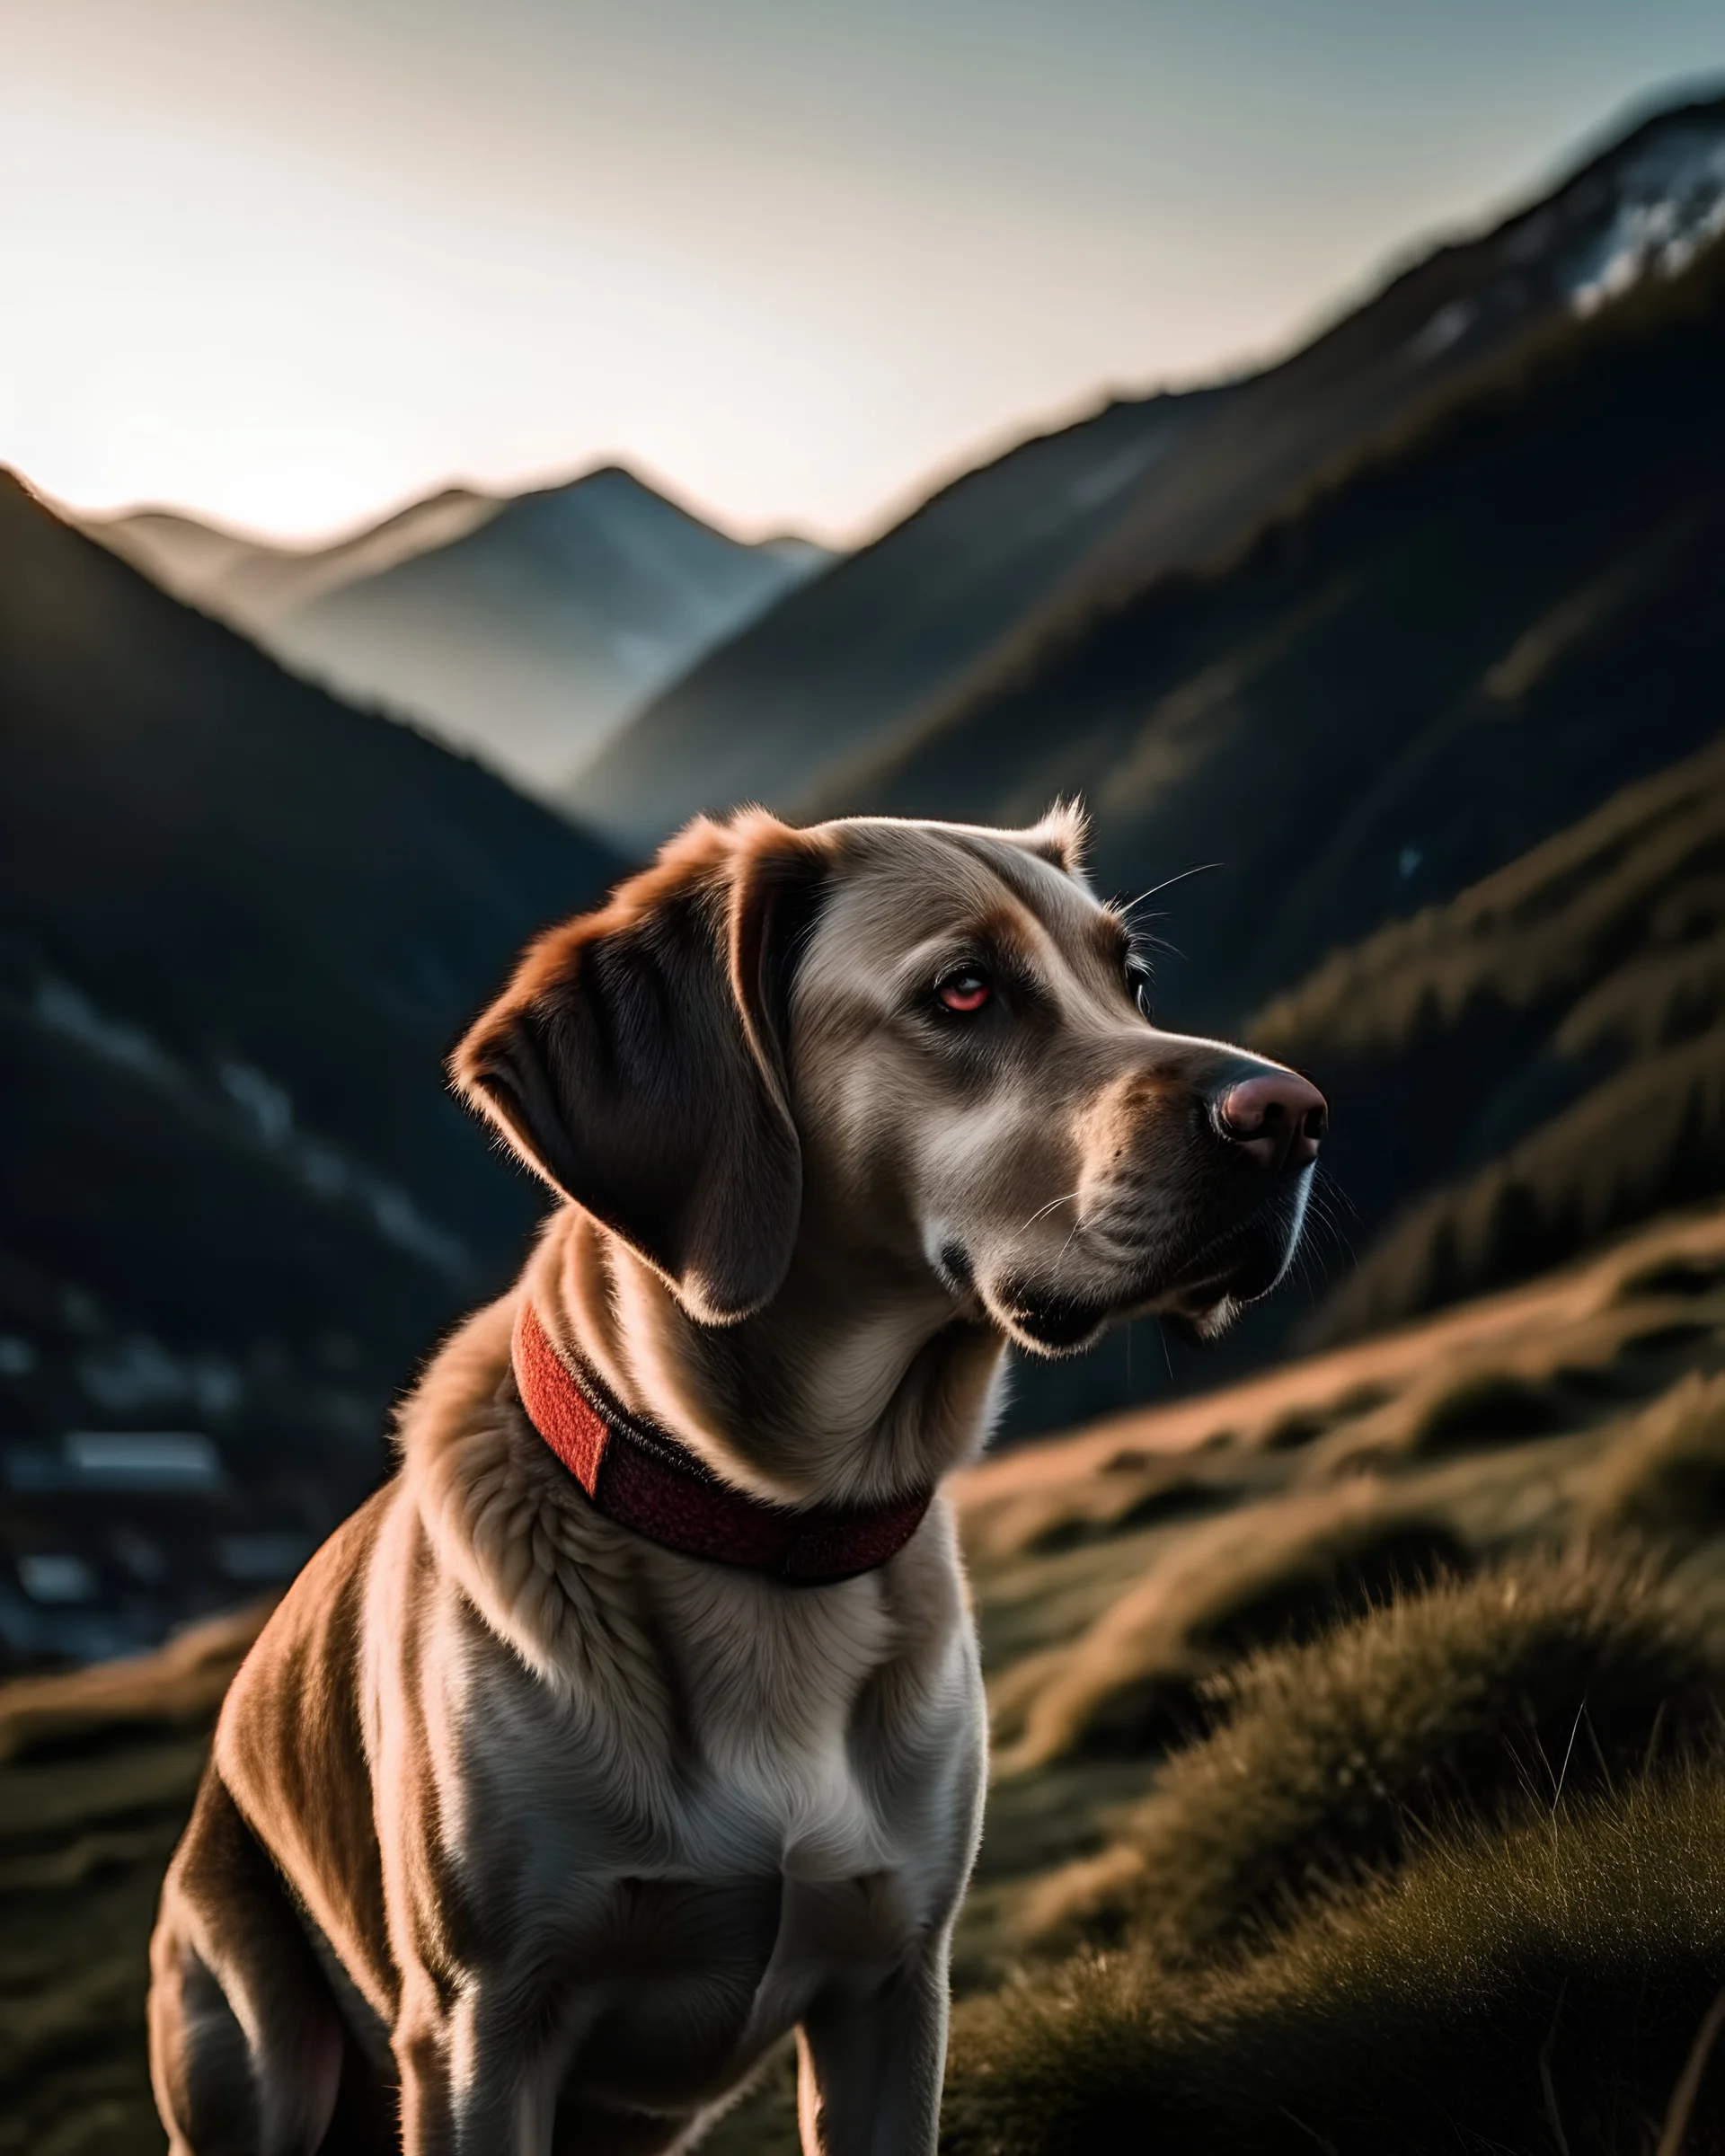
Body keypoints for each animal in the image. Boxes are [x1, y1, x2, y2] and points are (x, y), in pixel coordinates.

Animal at [152, 810, 1337, 2156]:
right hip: (257, 2051)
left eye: (1130, 980)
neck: (774, 1531)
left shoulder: (893, 1986)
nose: (1296, 1114)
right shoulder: (478, 2038)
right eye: (964, 990)